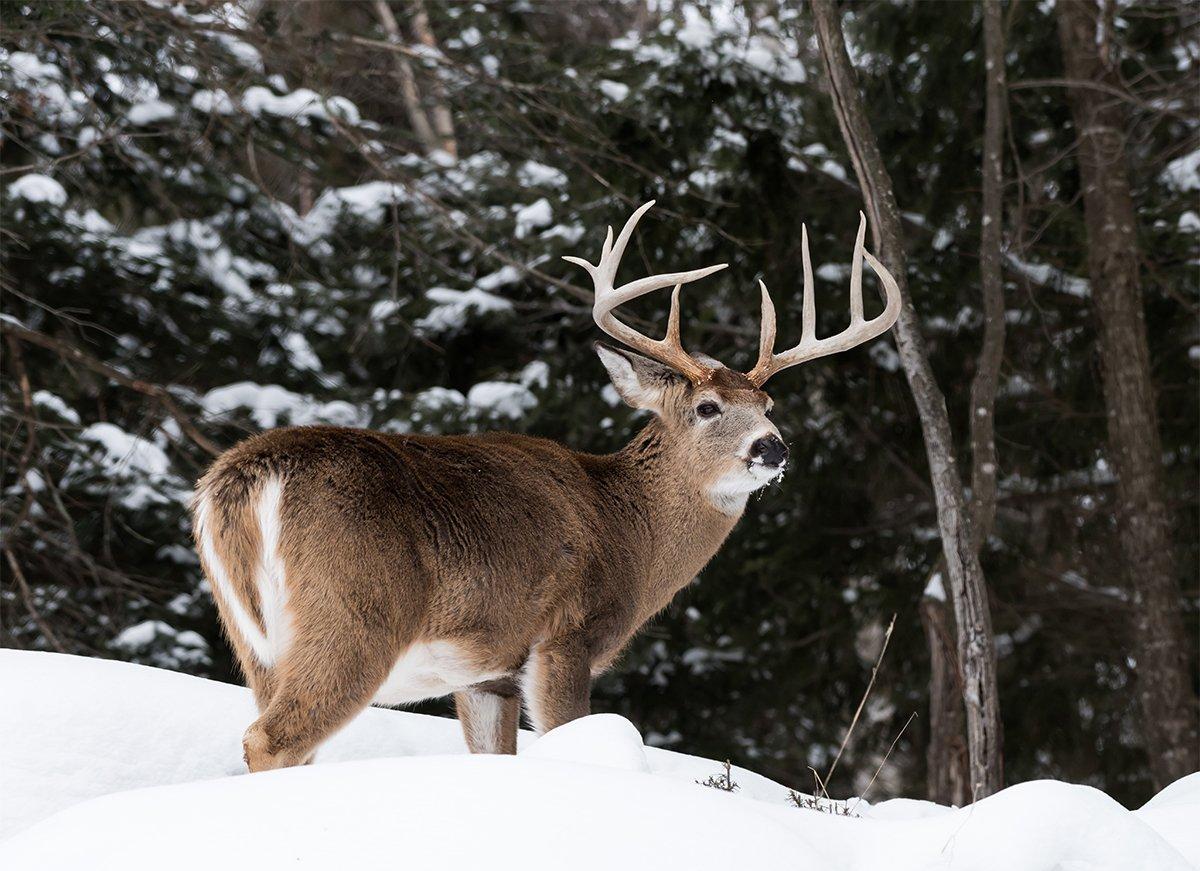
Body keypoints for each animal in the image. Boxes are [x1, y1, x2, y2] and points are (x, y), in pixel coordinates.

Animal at [189, 202, 902, 772]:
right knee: (273, 738)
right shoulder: (565, 636)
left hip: (255, 644)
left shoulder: (489, 674)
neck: (629, 527)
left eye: (770, 405)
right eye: (707, 407)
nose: (772, 449)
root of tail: (243, 477)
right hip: (354, 614)